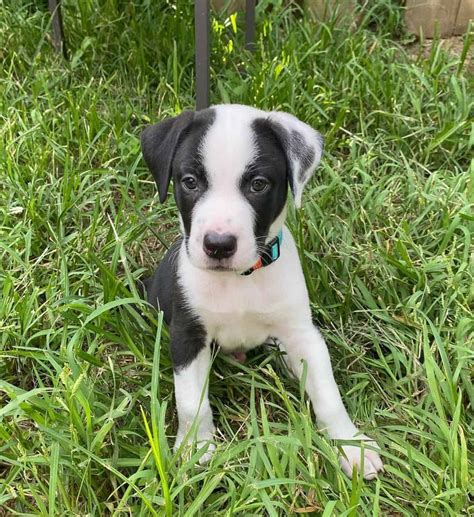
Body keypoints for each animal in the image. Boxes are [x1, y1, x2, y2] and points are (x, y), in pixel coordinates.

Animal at [140, 105, 382, 480]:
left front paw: (350, 445)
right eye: (190, 182)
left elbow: (328, 394)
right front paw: (196, 448)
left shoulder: (302, 333)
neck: (240, 279)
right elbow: (192, 402)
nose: (218, 245)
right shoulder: (187, 336)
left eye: (258, 185)